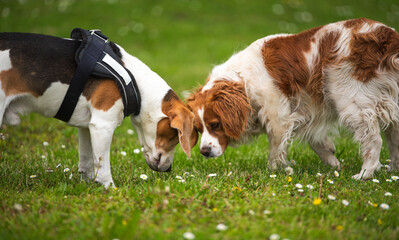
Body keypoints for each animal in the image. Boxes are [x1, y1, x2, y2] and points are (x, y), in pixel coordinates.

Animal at [0, 31, 196, 188]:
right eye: (175, 136)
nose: (169, 169)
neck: (132, 79)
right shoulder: (102, 125)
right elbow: (102, 167)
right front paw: (111, 191)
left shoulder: (86, 126)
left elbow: (87, 163)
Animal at [188, 18, 399, 180]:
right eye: (198, 128)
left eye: (215, 125)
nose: (204, 152)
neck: (244, 80)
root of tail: (388, 36)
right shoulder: (308, 108)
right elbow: (317, 141)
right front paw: (333, 163)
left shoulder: (278, 117)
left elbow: (275, 150)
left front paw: (275, 172)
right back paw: (392, 170)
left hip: (351, 102)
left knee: (374, 140)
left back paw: (365, 173)